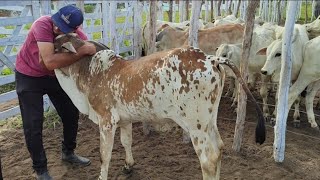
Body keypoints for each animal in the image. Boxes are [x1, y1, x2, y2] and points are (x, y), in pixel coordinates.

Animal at [54, 33, 264, 180]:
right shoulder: (124, 120)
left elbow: (104, 155)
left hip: (195, 125)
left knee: (209, 160)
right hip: (209, 121)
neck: (89, 72)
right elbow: (126, 142)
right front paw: (128, 166)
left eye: (55, 45)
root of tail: (211, 59)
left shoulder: (106, 120)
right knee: (219, 148)